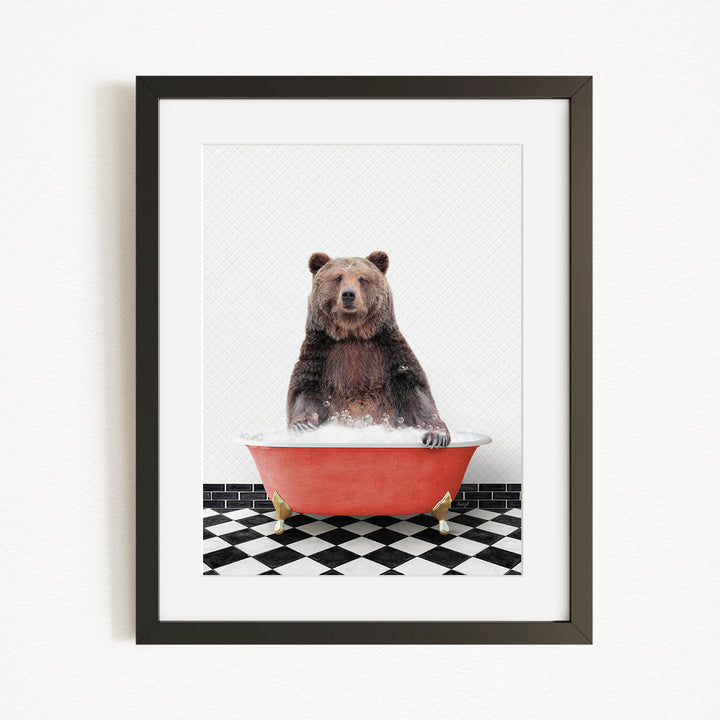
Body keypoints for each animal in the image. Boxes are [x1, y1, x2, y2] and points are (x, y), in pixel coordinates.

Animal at [286, 251, 451, 448]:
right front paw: (302, 425)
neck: (352, 333)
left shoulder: (388, 351)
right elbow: (305, 389)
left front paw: (436, 435)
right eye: (338, 277)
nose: (348, 294)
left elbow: (415, 390)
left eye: (362, 278)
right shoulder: (321, 352)